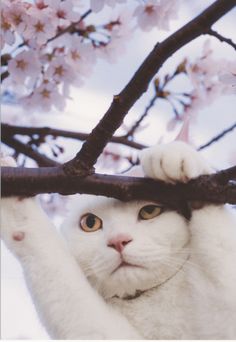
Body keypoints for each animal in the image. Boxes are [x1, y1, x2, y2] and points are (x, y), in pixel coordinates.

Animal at [0, 142, 236, 340]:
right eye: (90, 223)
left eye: (149, 211)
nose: (118, 241)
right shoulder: (101, 331)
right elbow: (55, 264)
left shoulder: (223, 317)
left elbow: (220, 256)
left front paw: (174, 155)